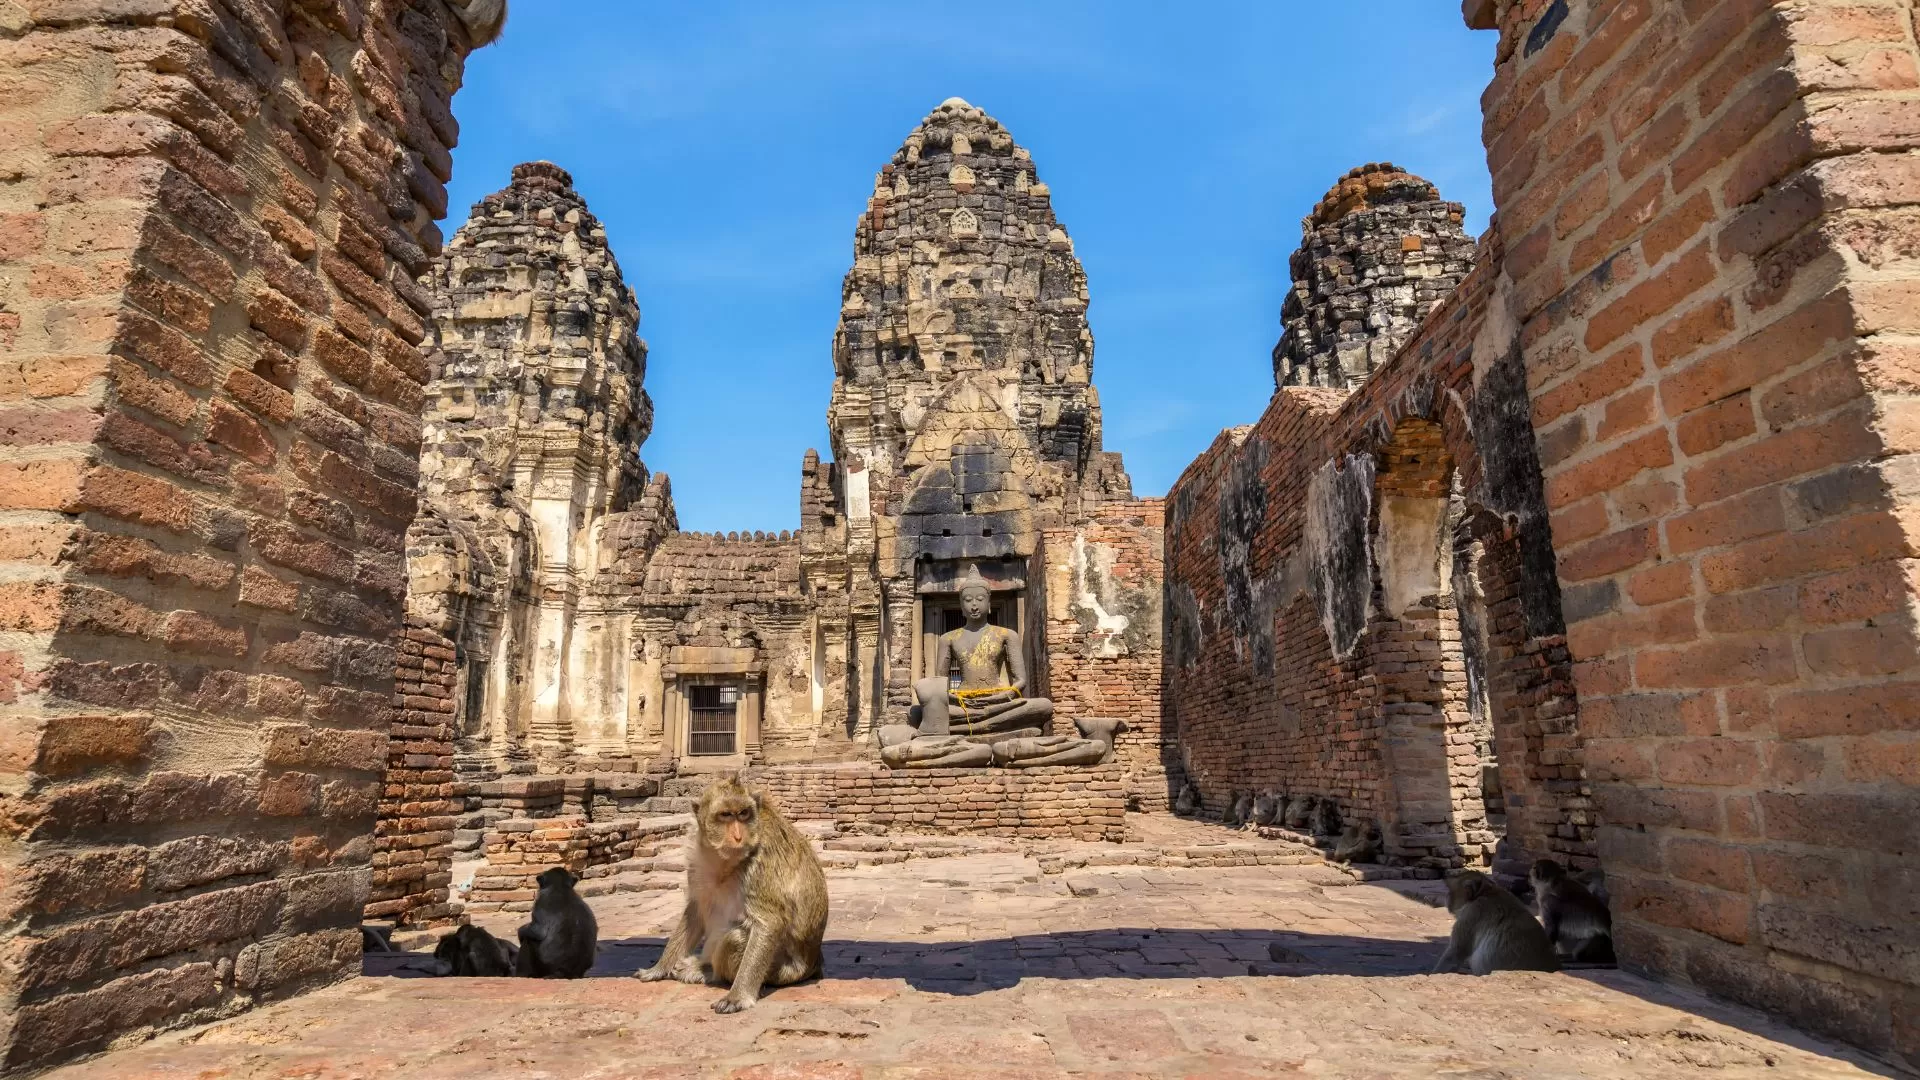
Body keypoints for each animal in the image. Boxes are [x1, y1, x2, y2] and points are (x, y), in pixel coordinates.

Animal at [636, 776, 829, 1014]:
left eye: (744, 813)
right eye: (726, 815)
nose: (738, 837)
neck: (725, 862)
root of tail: (814, 963)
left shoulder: (760, 863)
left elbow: (770, 922)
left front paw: (737, 997)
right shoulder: (697, 859)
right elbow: (695, 911)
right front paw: (659, 968)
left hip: (785, 972)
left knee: (734, 939)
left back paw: (710, 973)